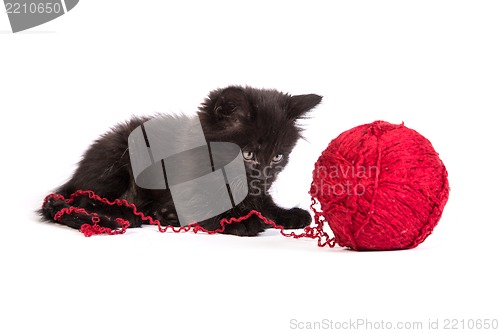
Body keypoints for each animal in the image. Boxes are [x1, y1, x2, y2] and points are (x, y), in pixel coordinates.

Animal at [41, 85, 322, 236]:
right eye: (248, 154)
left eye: (278, 156)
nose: (264, 178)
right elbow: (211, 209)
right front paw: (245, 221)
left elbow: (263, 203)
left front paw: (287, 214)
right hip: (116, 161)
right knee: (84, 198)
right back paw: (126, 213)